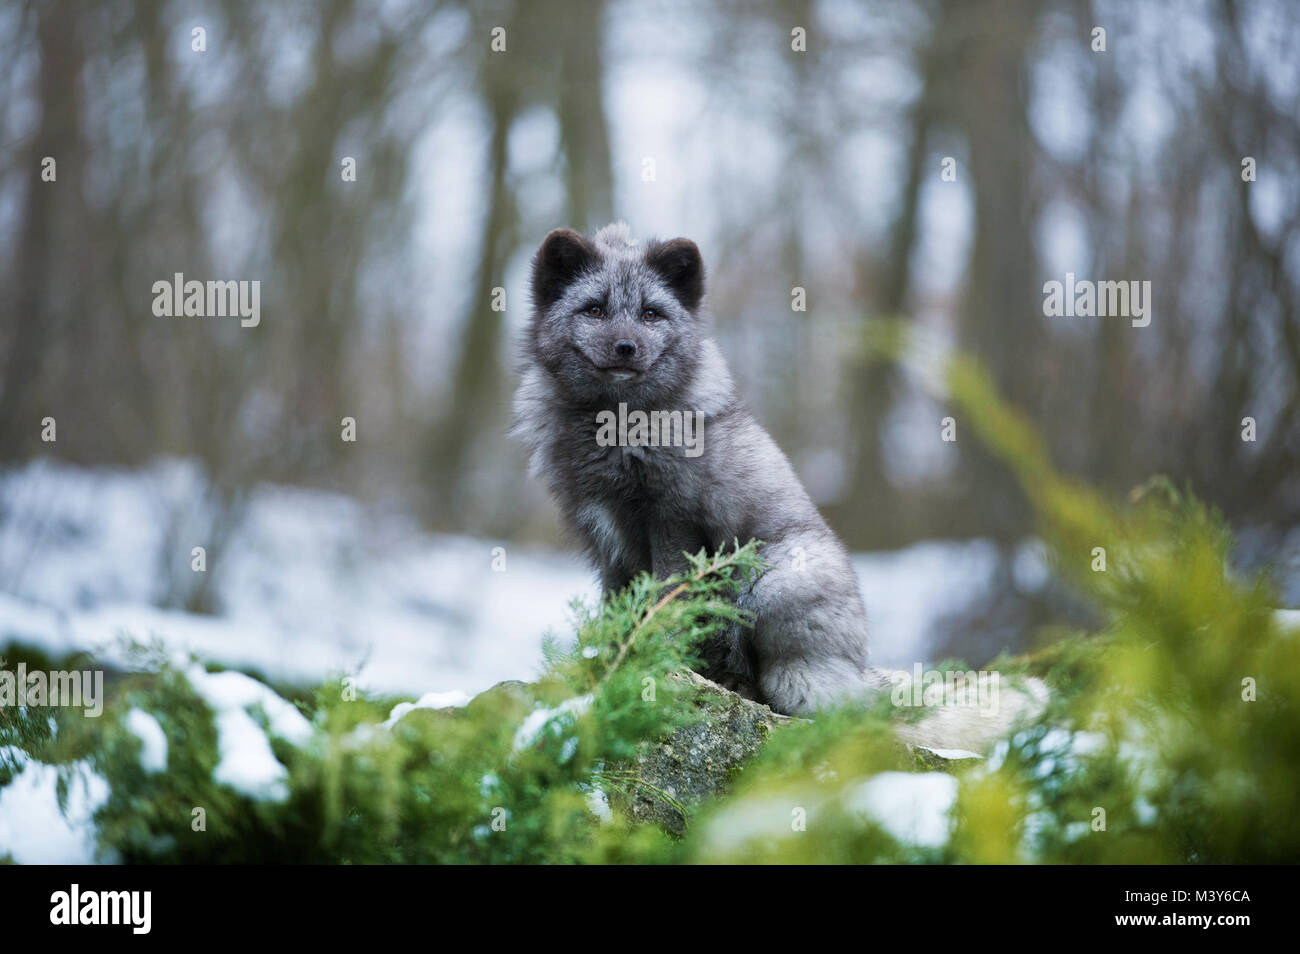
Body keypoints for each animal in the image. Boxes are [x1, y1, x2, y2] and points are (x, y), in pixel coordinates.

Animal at [511, 222, 877, 716]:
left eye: (650, 314)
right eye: (594, 309)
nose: (625, 347)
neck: (614, 429)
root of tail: (857, 668)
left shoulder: (673, 523)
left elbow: (669, 603)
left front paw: (656, 660)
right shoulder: (605, 539)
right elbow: (617, 609)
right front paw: (612, 663)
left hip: (771, 578)